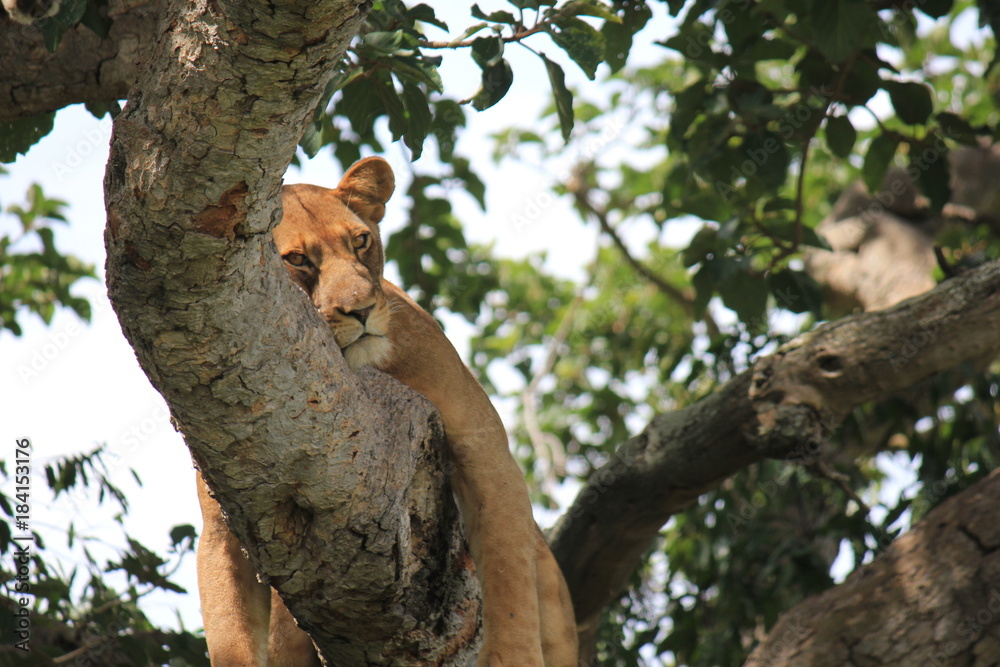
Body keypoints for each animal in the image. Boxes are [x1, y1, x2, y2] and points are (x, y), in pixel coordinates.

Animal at [196, 157, 578, 665]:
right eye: (296, 260)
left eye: (361, 241)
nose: (360, 311)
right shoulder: (220, 521)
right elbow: (229, 629)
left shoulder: (485, 451)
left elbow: (508, 571)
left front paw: (511, 654)